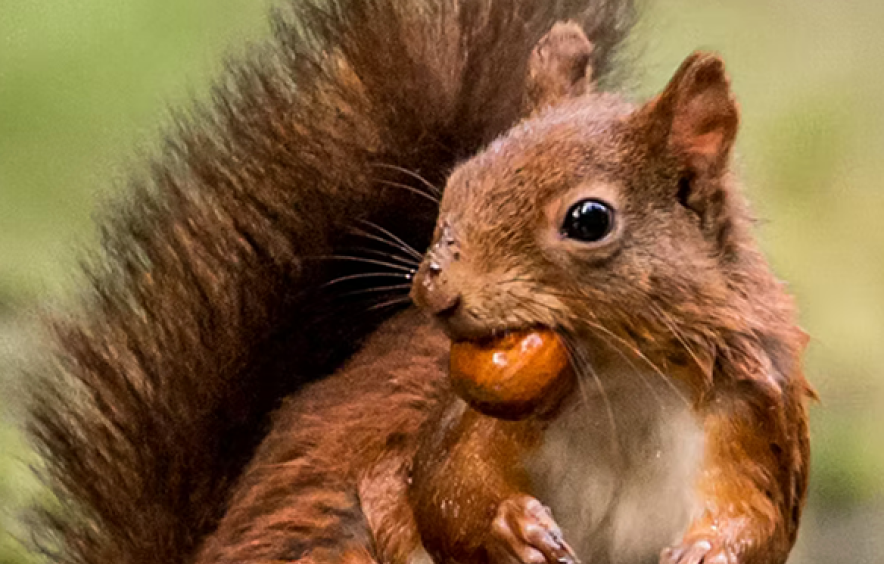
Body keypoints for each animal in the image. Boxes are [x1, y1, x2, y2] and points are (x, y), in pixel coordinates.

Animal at [27, 1, 813, 564]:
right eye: (458, 181)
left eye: (589, 219)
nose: (437, 290)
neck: (620, 378)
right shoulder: (463, 421)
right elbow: (441, 488)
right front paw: (509, 525)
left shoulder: (750, 420)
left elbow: (759, 516)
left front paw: (714, 548)